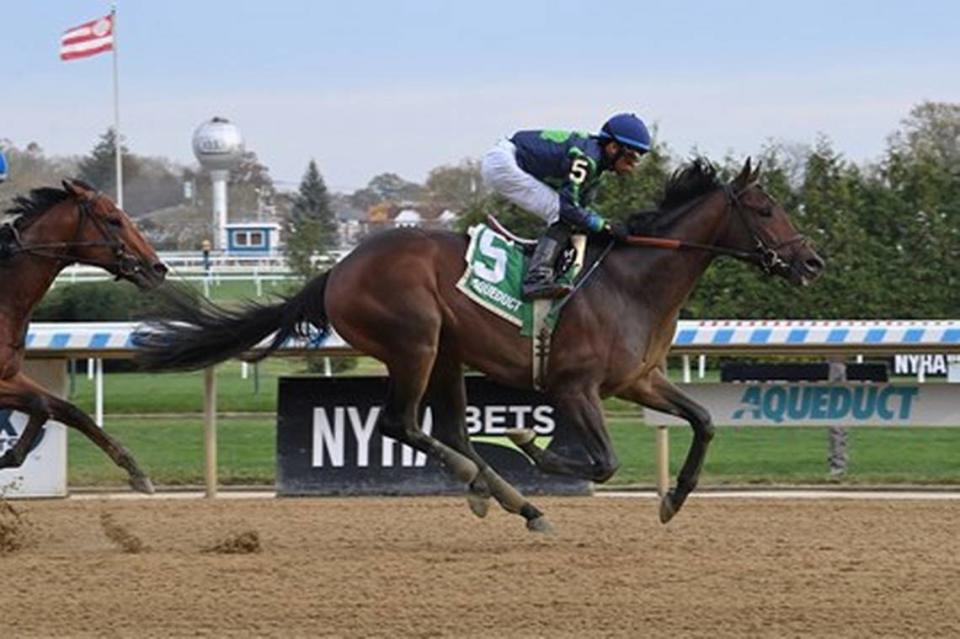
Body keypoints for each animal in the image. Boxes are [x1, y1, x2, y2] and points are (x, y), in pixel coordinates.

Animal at [0, 182, 167, 492]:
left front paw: (135, 469)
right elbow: (42, 405)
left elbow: (65, 409)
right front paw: (10, 455)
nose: (158, 268)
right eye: (114, 220)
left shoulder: (11, 375)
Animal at [135, 159, 824, 528]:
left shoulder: (639, 379)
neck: (633, 280)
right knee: (401, 425)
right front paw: (534, 446)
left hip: (447, 353)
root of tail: (339, 268)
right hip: (415, 341)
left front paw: (675, 499)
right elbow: (601, 462)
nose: (812, 262)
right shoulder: (575, 388)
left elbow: (704, 420)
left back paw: (511, 501)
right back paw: (494, 485)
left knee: (448, 431)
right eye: (766, 210)